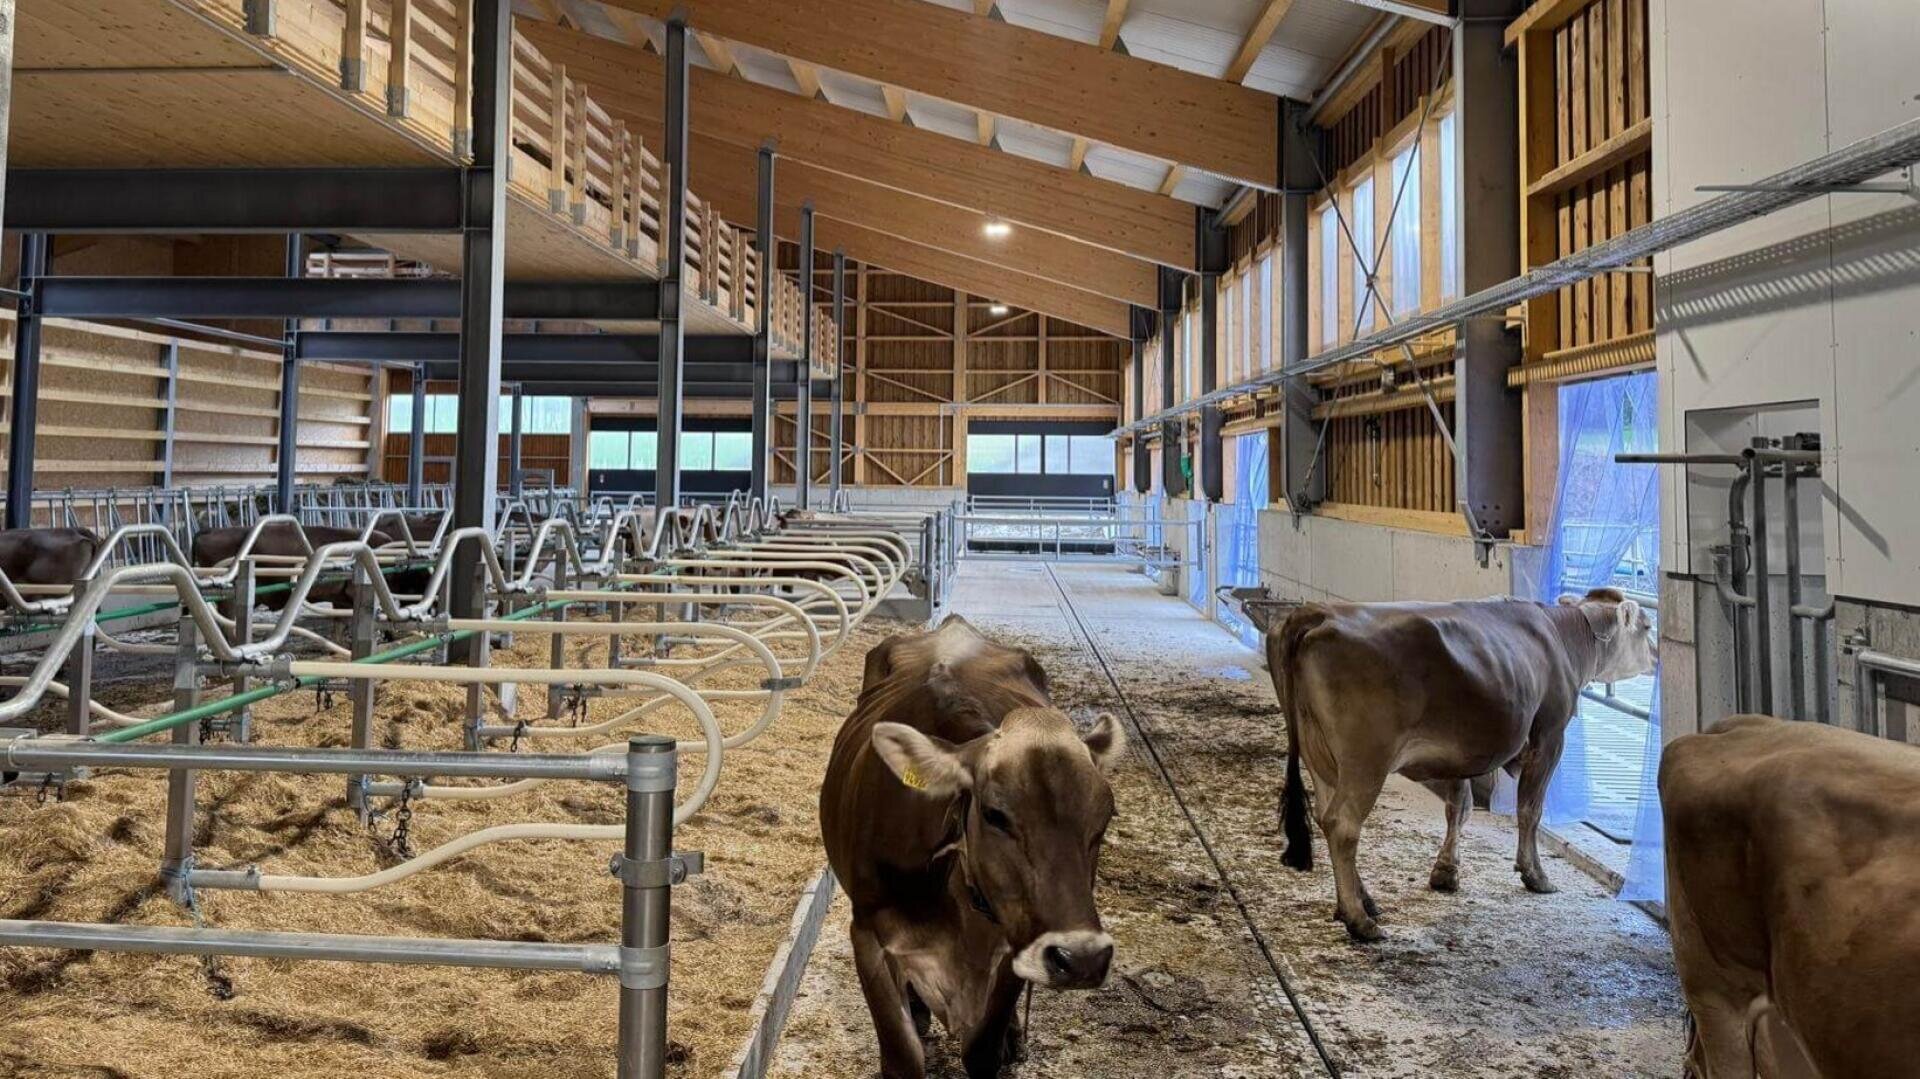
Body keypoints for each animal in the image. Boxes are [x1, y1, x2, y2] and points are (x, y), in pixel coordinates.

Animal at [819, 615, 1127, 1079]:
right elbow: (902, 1056)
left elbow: (982, 1048)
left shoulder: (1018, 939)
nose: (1082, 958)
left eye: (1104, 819)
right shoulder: (868, 935)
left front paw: (1003, 1039)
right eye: (995, 815)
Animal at [1273, 587, 1655, 941]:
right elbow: (1529, 810)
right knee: (1343, 824)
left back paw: (1360, 902)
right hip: (1365, 760)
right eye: (1647, 625)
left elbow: (1459, 807)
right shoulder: (1548, 738)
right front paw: (1535, 875)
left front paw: (1446, 873)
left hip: (1319, 755)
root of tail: (1317, 613)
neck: (1561, 637)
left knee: (1324, 816)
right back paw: (1359, 919)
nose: (1655, 655)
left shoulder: (1462, 749)